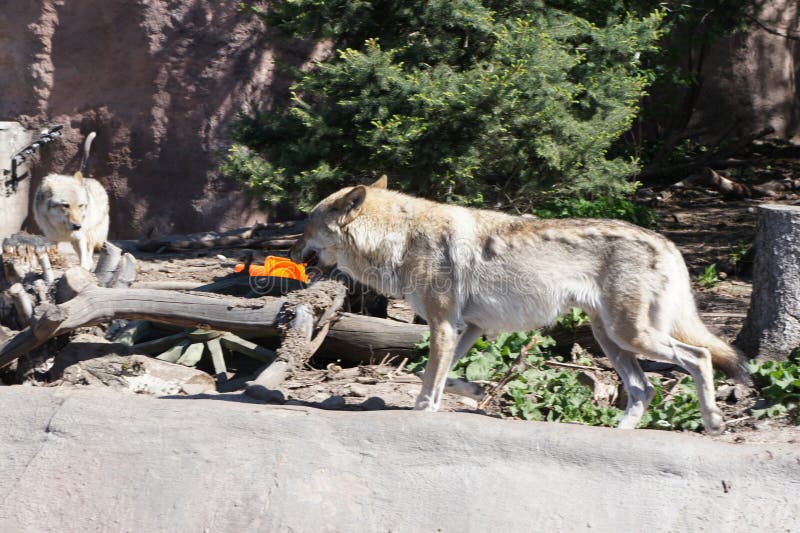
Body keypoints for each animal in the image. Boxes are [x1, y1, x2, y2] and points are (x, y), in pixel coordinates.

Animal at [290, 175, 748, 432]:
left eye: (306, 224)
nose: (292, 251)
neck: (399, 238)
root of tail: (667, 243)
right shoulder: (467, 327)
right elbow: (437, 375)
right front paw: (476, 390)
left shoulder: (443, 325)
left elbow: (427, 385)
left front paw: (423, 414)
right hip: (612, 339)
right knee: (643, 389)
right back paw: (621, 434)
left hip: (632, 336)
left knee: (700, 357)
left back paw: (714, 423)